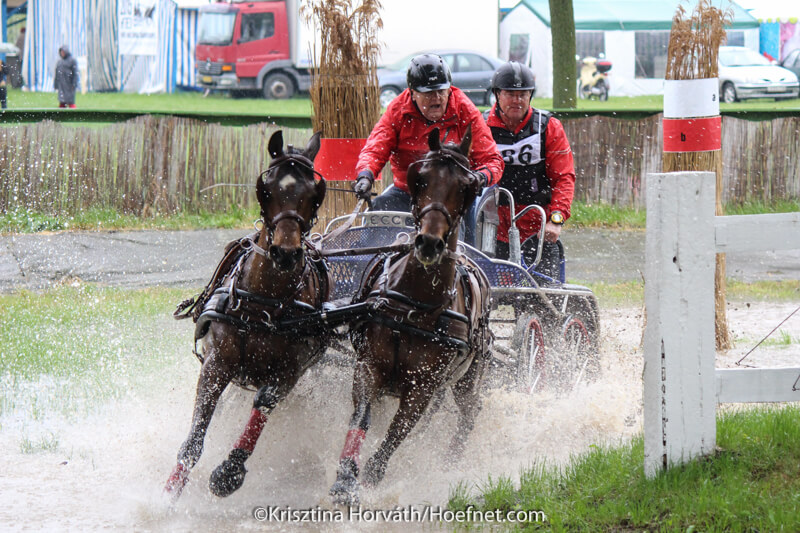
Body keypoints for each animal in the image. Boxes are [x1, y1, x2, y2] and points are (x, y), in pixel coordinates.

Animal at [164, 130, 330, 501]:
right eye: (266, 188)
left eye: (313, 194)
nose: (285, 252)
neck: (263, 304)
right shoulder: (216, 364)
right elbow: (194, 440)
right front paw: (169, 493)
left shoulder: (289, 373)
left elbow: (263, 403)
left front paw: (229, 471)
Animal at [329, 126, 493, 505]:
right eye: (420, 178)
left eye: (467, 186)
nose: (429, 243)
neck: (414, 306)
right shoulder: (369, 366)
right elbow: (361, 416)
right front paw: (345, 478)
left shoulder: (423, 386)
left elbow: (397, 433)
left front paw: (371, 476)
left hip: (468, 377)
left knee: (469, 413)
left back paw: (450, 462)